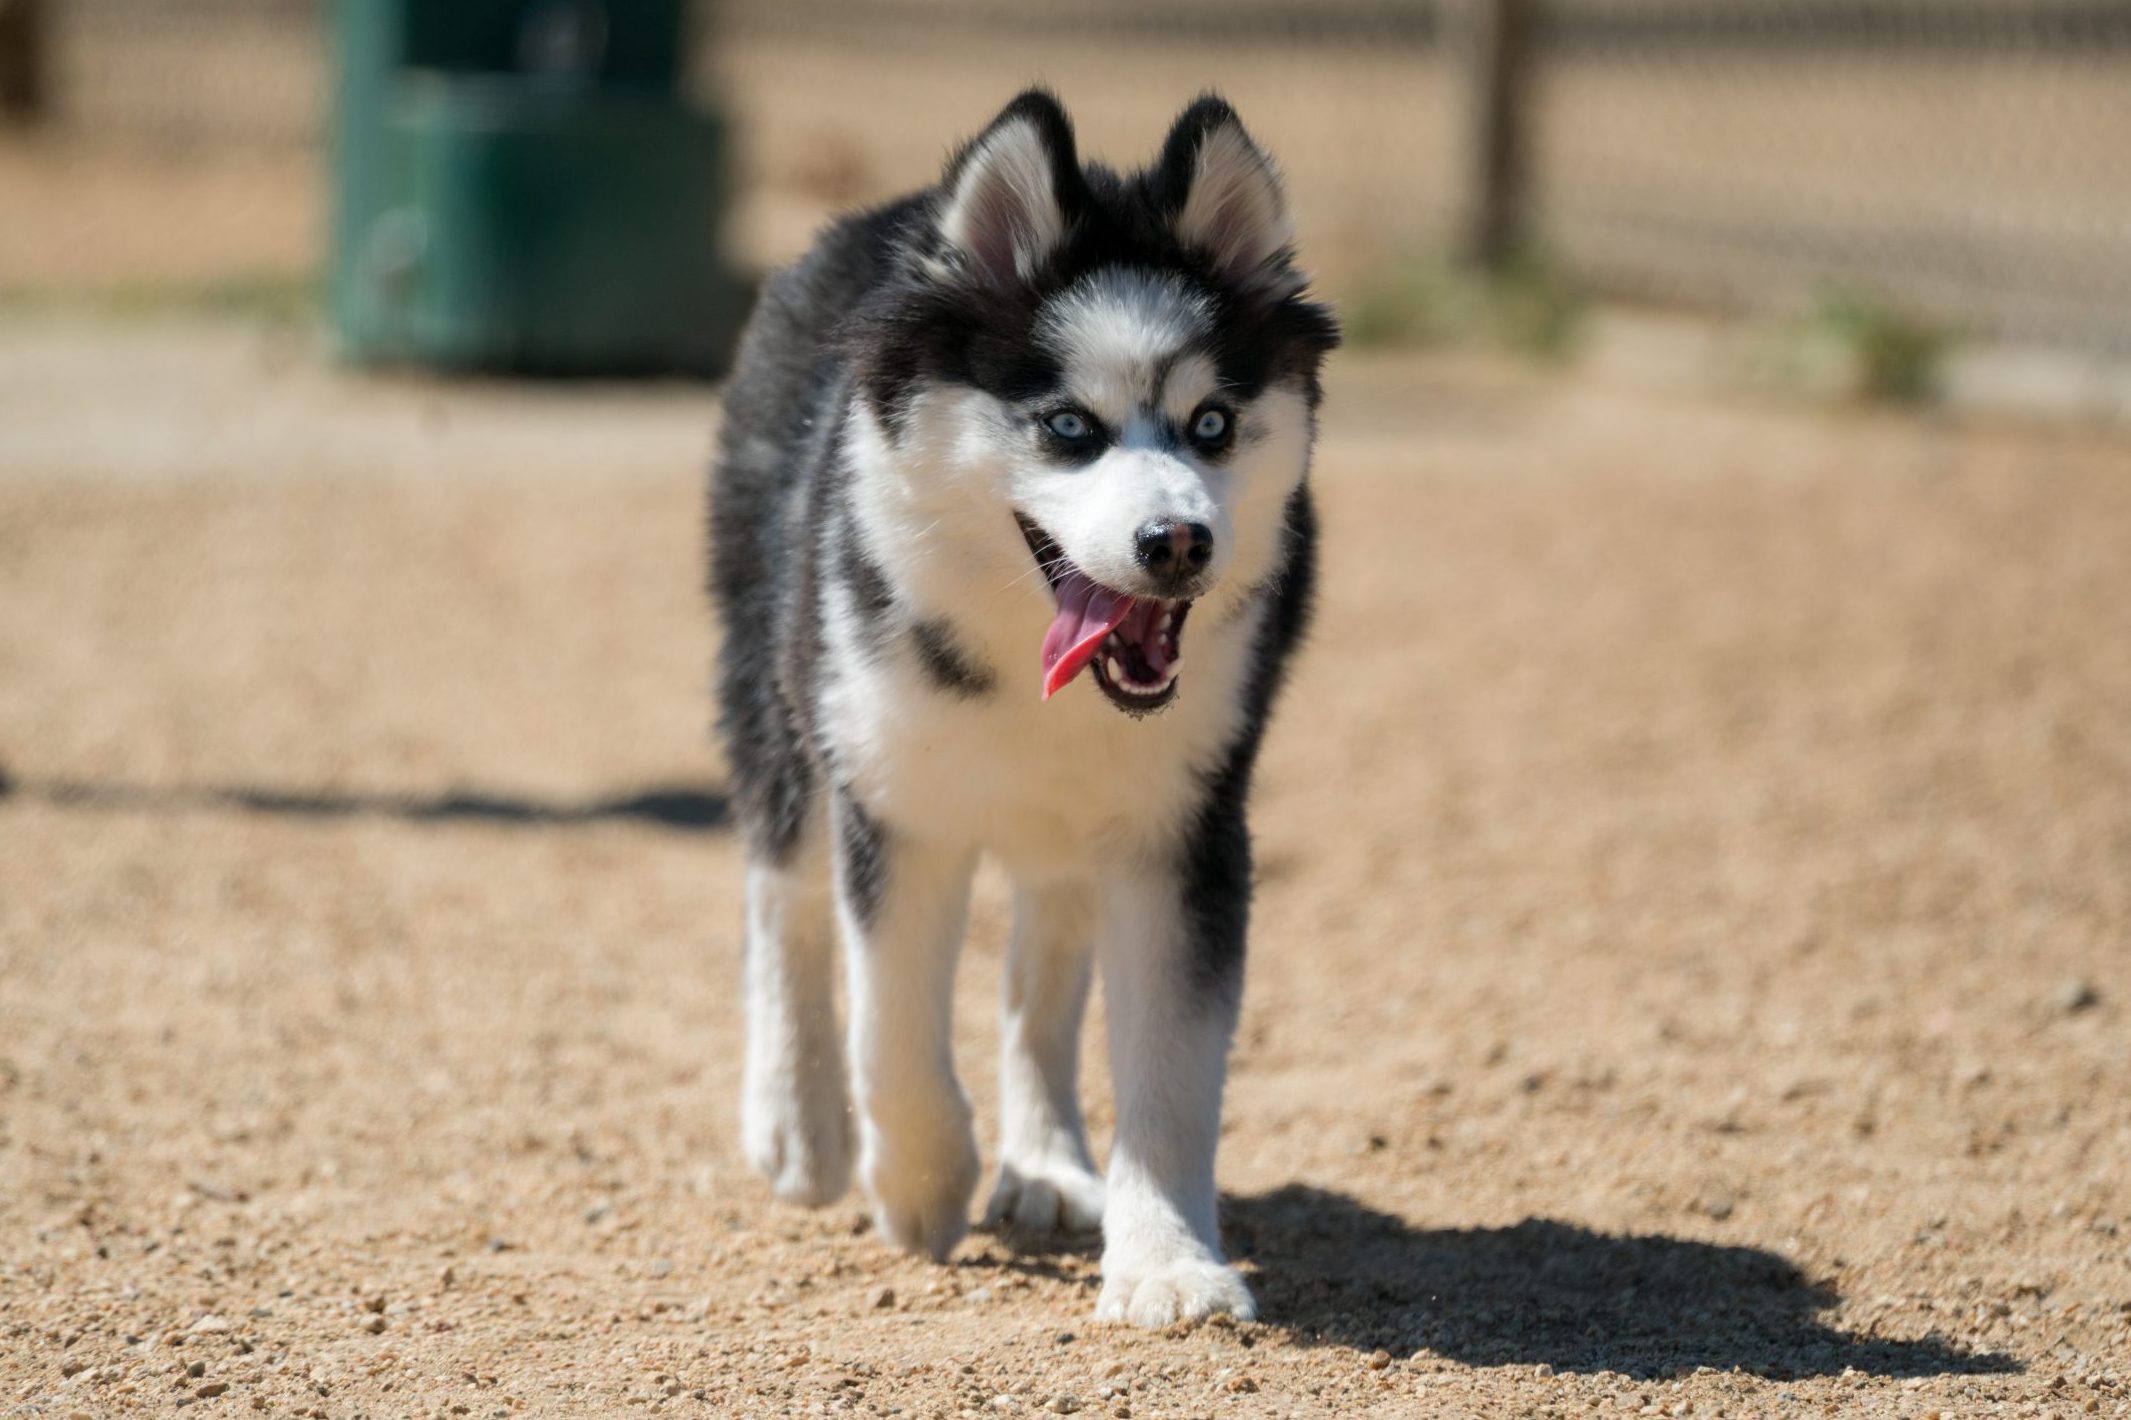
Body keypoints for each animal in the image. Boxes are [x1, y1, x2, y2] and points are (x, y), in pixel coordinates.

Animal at [724, 91, 1338, 1330]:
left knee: (1040, 977)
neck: (1025, 671)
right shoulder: (893, 801)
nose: (1178, 542)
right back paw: (798, 1125)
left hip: (1071, 827)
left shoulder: (1182, 831)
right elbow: (890, 1023)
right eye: (1067, 427)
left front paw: (1168, 1263)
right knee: (783, 896)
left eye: (1211, 424)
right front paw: (918, 1185)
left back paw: (1048, 1160)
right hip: (785, 696)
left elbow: (1170, 1069)